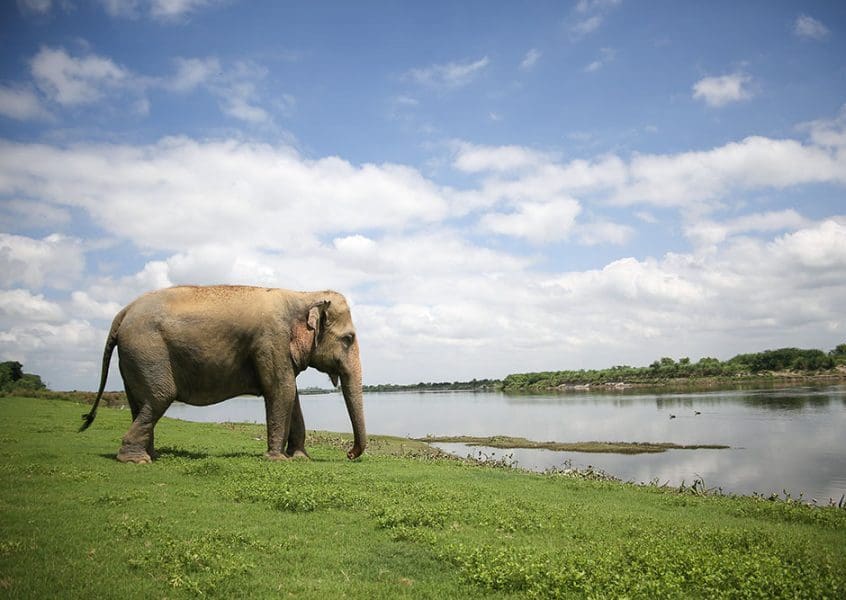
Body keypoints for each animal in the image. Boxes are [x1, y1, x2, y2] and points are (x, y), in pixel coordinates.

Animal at [79, 285, 366, 463]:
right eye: (349, 339)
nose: (349, 454)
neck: (304, 295)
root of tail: (123, 312)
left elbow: (291, 396)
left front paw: (300, 458)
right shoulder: (271, 341)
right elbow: (281, 391)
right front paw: (278, 459)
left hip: (133, 360)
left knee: (139, 404)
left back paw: (151, 455)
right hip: (147, 350)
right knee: (160, 396)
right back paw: (137, 461)